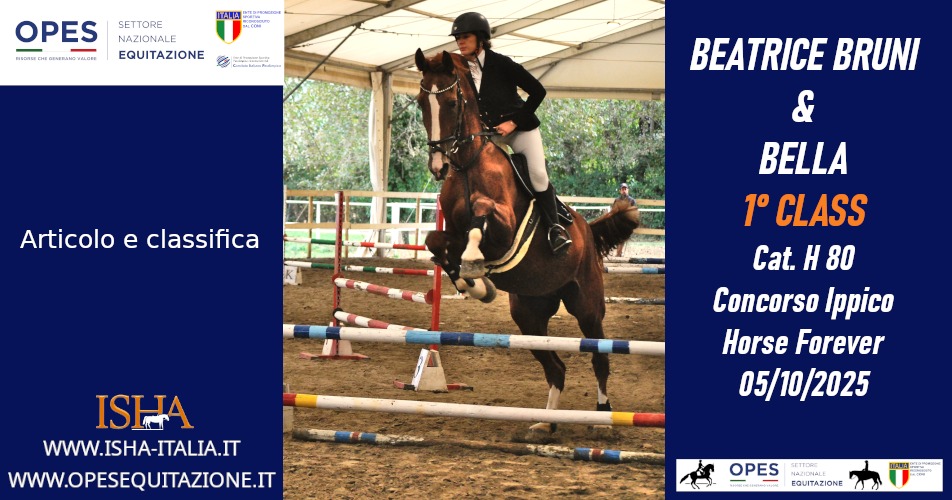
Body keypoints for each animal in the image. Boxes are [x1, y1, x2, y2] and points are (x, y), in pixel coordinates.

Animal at [414, 49, 641, 432]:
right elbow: (435, 241)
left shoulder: (503, 225)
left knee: (599, 357)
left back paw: (602, 416)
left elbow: (479, 221)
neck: (468, 165)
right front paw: (474, 284)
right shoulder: (450, 233)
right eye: (420, 102)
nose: (438, 166)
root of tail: (587, 231)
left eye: (449, 102)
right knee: (556, 368)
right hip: (529, 315)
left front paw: (473, 267)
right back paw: (546, 423)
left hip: (587, 306)